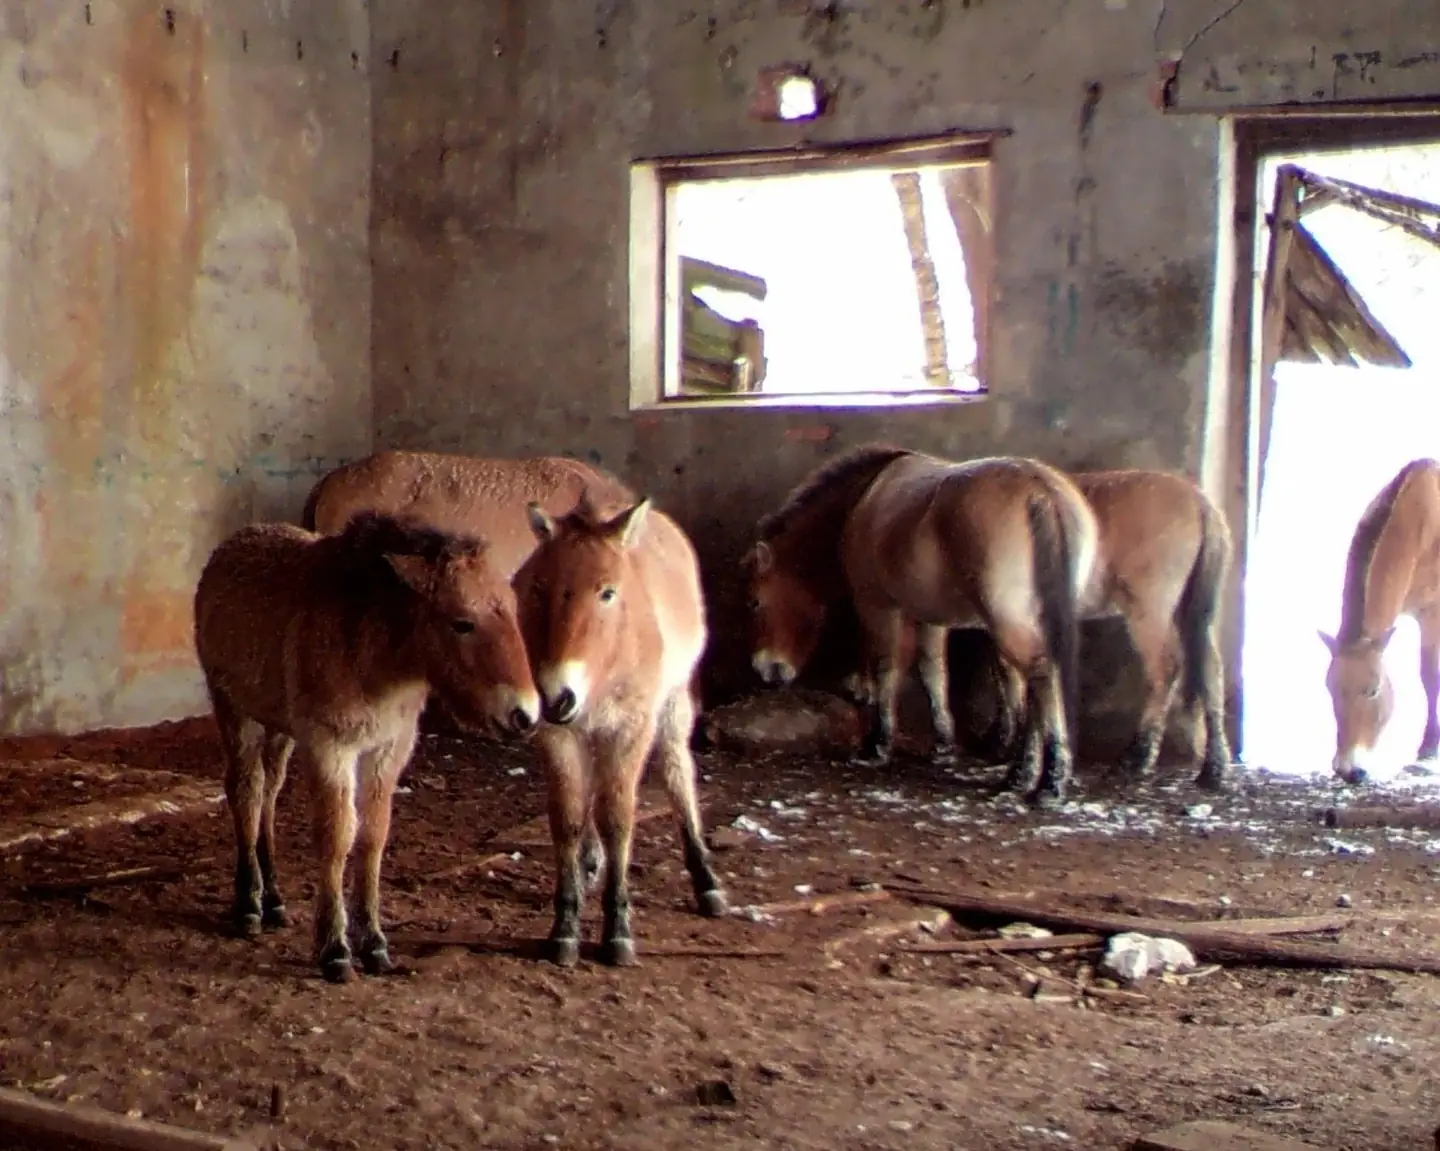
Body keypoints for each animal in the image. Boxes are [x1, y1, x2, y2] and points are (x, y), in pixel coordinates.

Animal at [193, 511, 540, 983]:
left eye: (513, 612)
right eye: (462, 622)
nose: (525, 714)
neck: (367, 642)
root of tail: (231, 545)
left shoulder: (388, 749)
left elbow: (373, 836)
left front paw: (373, 942)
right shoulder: (329, 748)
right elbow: (338, 835)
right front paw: (335, 949)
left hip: (279, 728)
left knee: (269, 792)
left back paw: (274, 899)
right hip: (234, 711)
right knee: (246, 791)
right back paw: (248, 904)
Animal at [514, 493, 728, 967]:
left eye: (608, 592)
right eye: (537, 588)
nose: (557, 696)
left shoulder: (630, 729)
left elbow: (617, 819)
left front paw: (617, 931)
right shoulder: (560, 736)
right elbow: (568, 818)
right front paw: (565, 927)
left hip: (673, 706)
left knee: (677, 774)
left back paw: (706, 882)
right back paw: (589, 862)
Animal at [749, 444, 1097, 807]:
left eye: (756, 602)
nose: (765, 668)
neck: (864, 496)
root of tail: (1041, 492)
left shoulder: (879, 606)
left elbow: (886, 670)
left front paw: (877, 745)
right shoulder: (931, 618)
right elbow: (933, 673)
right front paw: (942, 744)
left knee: (1042, 677)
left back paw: (1043, 781)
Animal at [1320, 458, 1440, 784]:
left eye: (1372, 691)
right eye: (1330, 689)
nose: (1348, 769)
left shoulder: (1432, 611)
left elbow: (1430, 675)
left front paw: (1429, 749)